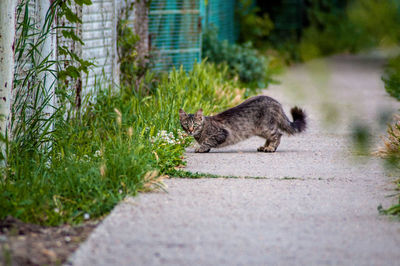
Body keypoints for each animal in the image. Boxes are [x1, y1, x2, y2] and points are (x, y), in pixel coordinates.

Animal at [180, 95, 308, 153]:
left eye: (195, 125)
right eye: (186, 125)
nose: (190, 130)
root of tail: (275, 102)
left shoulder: (221, 133)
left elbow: (208, 140)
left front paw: (201, 147)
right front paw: (204, 148)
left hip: (265, 127)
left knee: (278, 134)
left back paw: (271, 148)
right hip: (261, 130)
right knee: (271, 137)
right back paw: (264, 147)